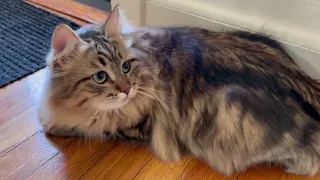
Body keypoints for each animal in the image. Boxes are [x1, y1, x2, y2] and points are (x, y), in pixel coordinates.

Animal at [39, 6, 320, 176]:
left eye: (126, 67)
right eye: (100, 77)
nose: (128, 90)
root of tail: (303, 81)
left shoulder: (132, 125)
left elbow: (81, 127)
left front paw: (53, 125)